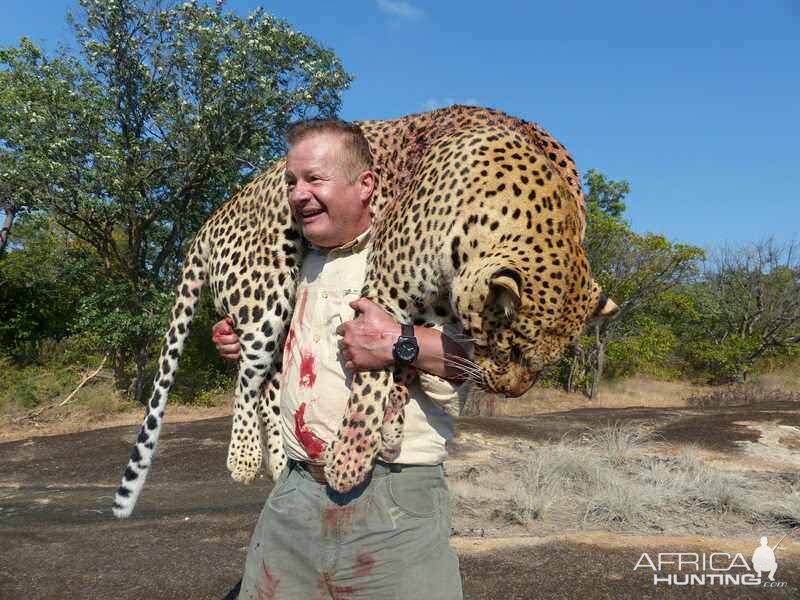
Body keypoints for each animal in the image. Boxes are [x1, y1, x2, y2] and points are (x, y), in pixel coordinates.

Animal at [111, 102, 620, 516]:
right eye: (513, 349)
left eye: (545, 363)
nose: (511, 391)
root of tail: (207, 224)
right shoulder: (383, 293)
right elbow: (371, 383)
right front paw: (349, 462)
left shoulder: (432, 314)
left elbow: (404, 363)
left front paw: (392, 427)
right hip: (266, 294)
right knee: (249, 379)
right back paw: (245, 458)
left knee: (274, 379)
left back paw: (278, 459)